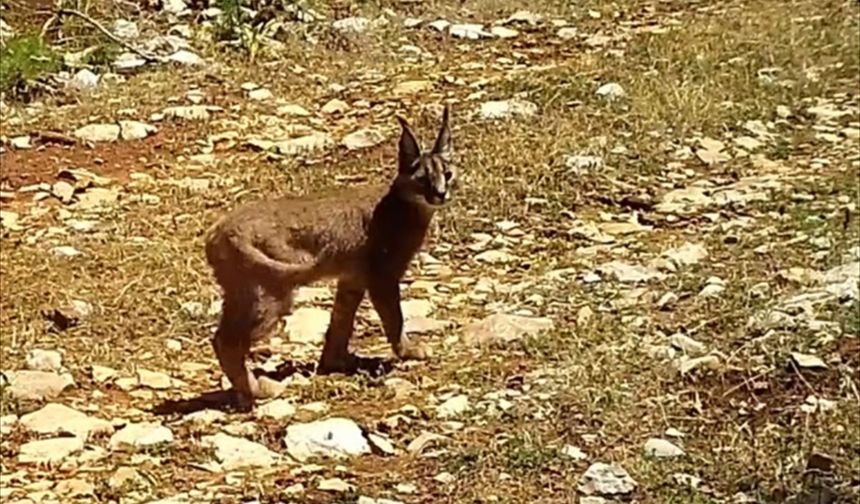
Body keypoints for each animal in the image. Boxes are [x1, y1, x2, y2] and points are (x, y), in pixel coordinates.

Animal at [204, 107, 456, 410]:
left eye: (448, 174)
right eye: (422, 179)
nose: (440, 194)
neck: (403, 206)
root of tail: (218, 230)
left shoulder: (352, 278)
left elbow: (341, 319)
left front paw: (334, 361)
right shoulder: (382, 276)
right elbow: (394, 318)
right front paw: (408, 351)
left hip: (242, 292)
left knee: (220, 336)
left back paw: (244, 392)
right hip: (271, 293)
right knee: (226, 342)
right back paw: (263, 390)